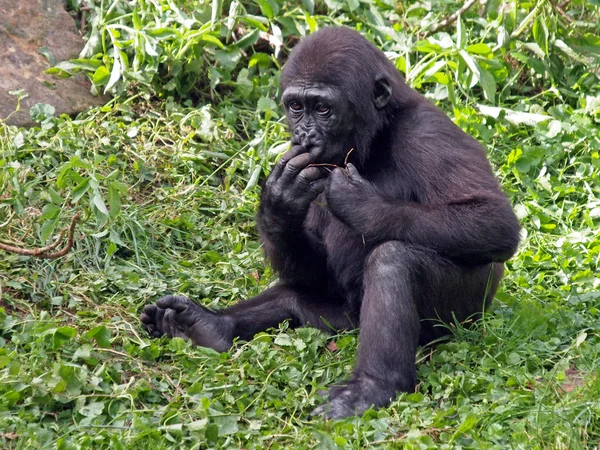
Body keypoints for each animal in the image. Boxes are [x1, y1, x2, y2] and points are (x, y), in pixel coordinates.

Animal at [141, 27, 520, 418]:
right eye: (296, 107)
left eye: (323, 109)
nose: (305, 137)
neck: (378, 133)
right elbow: (309, 268)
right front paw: (279, 204)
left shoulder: (427, 133)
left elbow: (492, 219)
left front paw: (362, 204)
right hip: (336, 320)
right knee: (295, 296)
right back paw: (206, 325)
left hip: (463, 319)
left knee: (394, 261)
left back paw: (373, 386)